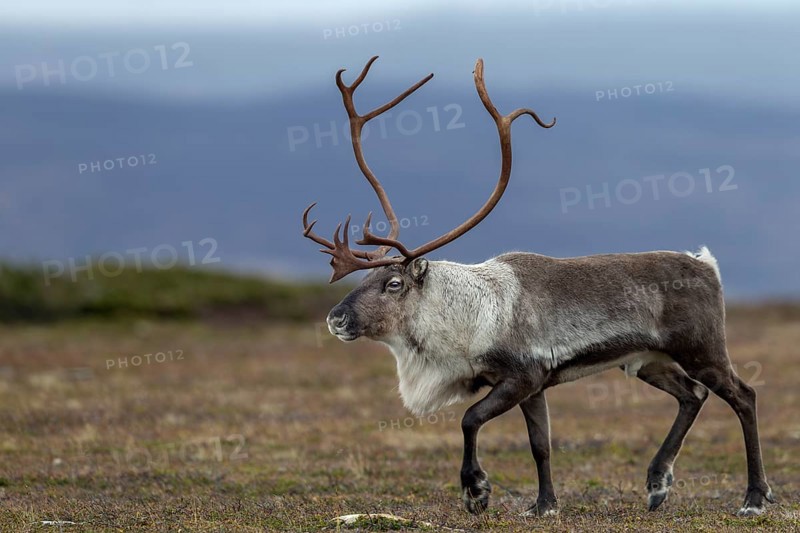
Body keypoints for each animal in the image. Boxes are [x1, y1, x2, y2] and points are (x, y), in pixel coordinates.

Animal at [301, 56, 774, 518]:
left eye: (394, 283)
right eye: (365, 278)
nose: (336, 318)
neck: (465, 318)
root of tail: (706, 265)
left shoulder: (522, 376)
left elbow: (469, 418)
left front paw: (477, 491)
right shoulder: (535, 384)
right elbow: (540, 445)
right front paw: (544, 504)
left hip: (702, 348)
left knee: (744, 396)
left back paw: (754, 497)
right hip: (648, 361)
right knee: (692, 396)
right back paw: (658, 484)